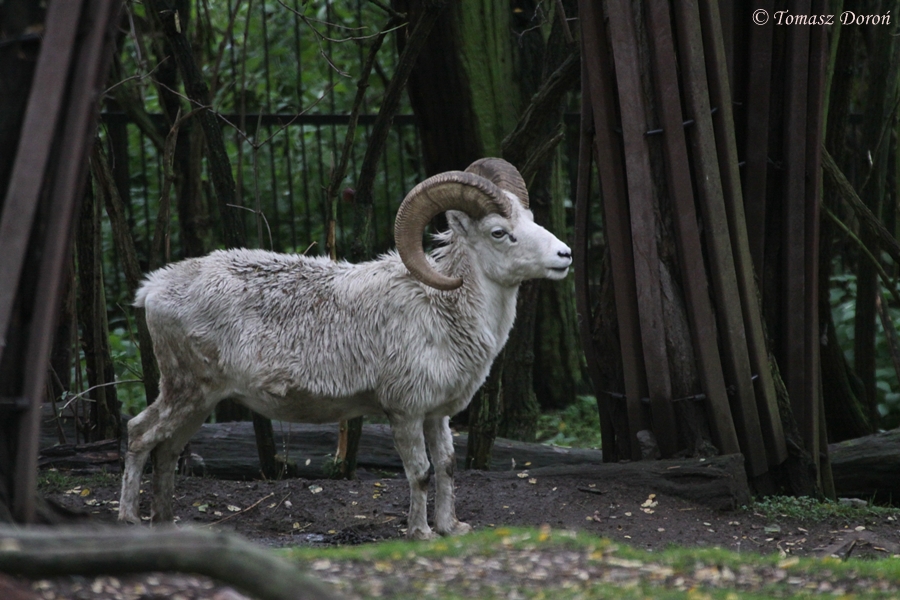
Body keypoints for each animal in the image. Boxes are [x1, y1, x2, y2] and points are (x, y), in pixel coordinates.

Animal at [118, 158, 573, 539]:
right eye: (499, 232)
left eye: (531, 219)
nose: (564, 255)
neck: (442, 310)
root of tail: (153, 289)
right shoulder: (404, 412)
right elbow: (421, 472)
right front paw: (421, 533)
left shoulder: (436, 414)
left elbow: (446, 465)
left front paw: (450, 528)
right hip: (186, 390)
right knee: (140, 434)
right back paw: (130, 520)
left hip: (200, 401)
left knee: (168, 449)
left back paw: (165, 523)